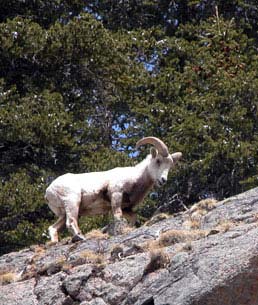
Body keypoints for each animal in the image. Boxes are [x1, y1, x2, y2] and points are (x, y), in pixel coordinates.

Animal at [44, 137, 181, 241]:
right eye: (158, 161)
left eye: (170, 166)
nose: (163, 180)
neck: (136, 178)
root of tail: (49, 191)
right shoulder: (116, 195)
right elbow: (117, 215)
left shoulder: (127, 208)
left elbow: (133, 218)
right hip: (73, 202)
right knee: (71, 222)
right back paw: (81, 237)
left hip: (63, 213)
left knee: (53, 228)